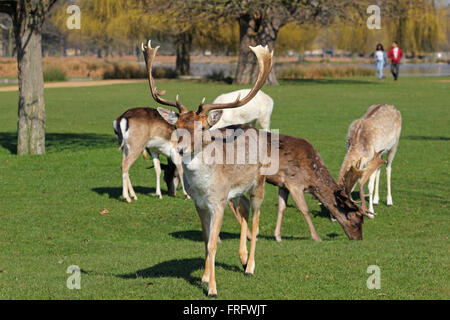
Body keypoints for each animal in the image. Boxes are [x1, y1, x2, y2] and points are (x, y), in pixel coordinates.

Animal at [142, 40, 274, 298]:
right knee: (244, 211)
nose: (180, 148)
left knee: (256, 219)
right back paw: (242, 258)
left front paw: (213, 289)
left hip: (258, 184)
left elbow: (213, 243)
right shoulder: (200, 203)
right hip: (236, 193)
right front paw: (203, 277)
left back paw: (250, 267)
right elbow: (205, 239)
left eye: (202, 127)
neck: (205, 187)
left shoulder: (218, 202)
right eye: (177, 124)